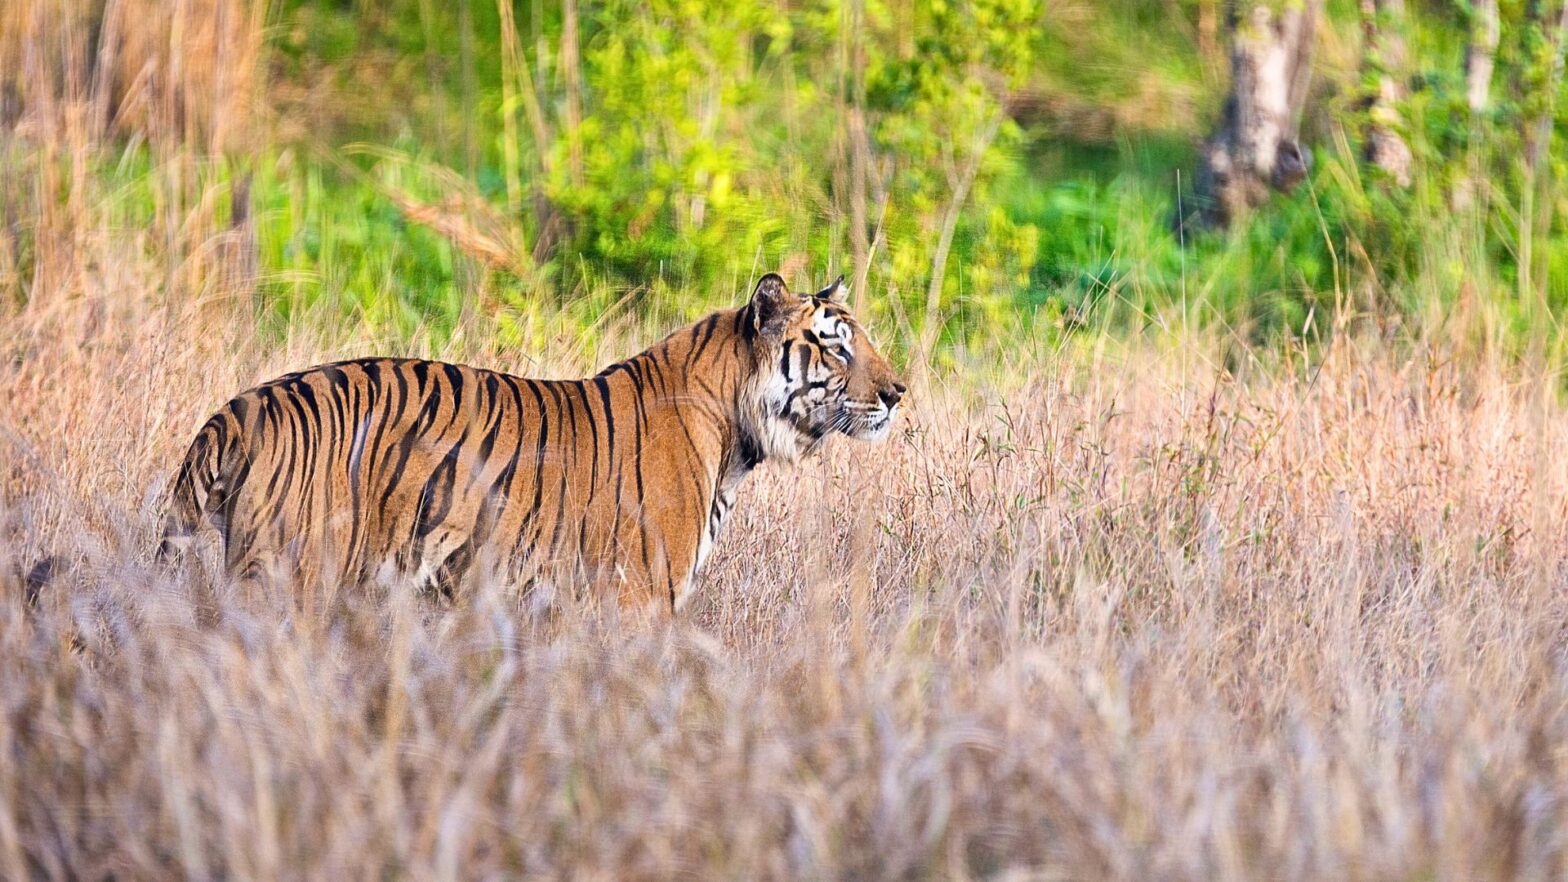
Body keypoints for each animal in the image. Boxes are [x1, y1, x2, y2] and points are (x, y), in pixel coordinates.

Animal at [162, 274, 909, 612]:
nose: (899, 392)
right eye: (837, 347)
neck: (735, 433)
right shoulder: (639, 598)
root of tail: (239, 408)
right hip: (289, 580)